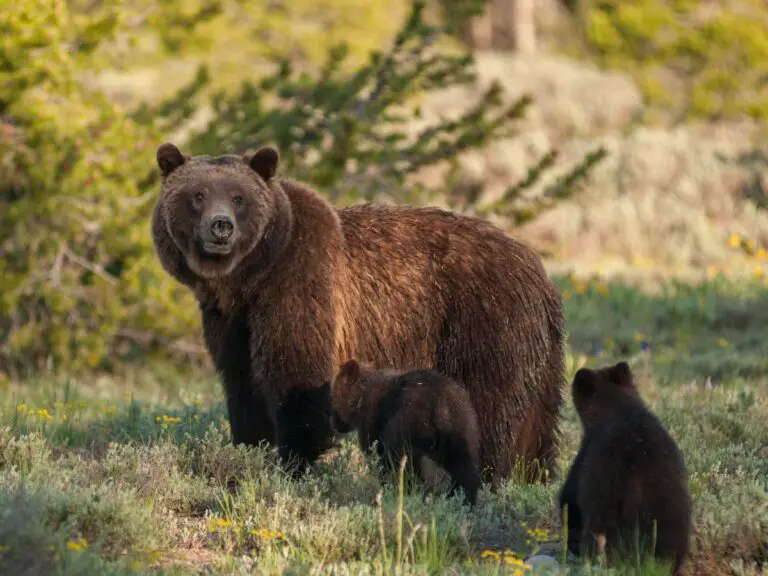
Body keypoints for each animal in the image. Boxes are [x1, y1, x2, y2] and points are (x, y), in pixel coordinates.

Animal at [153, 142, 568, 484]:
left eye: (238, 197)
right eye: (198, 195)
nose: (220, 227)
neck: (248, 279)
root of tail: (542, 275)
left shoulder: (300, 283)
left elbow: (296, 375)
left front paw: (295, 462)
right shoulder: (231, 320)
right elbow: (242, 382)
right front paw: (250, 448)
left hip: (484, 322)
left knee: (488, 406)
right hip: (541, 354)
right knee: (537, 423)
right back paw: (534, 476)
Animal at [328, 360, 480, 504]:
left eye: (333, 397)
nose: (333, 423)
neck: (360, 399)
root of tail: (441, 407)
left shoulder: (371, 423)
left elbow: (378, 456)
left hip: (409, 424)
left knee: (402, 463)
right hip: (463, 429)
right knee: (465, 472)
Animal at [556, 360, 692, 572]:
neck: (617, 407)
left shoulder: (590, 452)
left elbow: (571, 496)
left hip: (610, 490)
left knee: (597, 526)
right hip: (670, 498)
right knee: (672, 537)